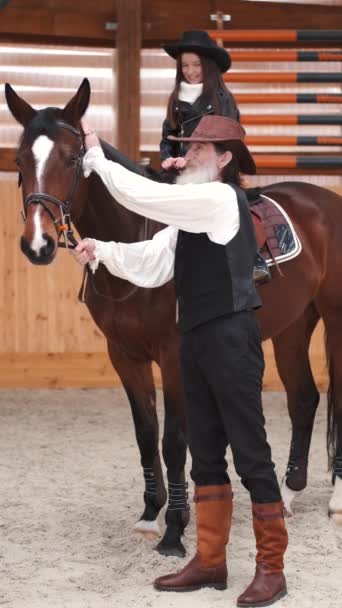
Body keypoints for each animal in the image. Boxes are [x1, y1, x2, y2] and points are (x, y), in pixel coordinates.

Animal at [4, 78, 342, 544]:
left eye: (72, 158)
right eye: (19, 160)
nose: (37, 244)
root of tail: (325, 202)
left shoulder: (173, 355)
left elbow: (174, 440)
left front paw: (176, 525)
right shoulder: (124, 354)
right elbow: (146, 434)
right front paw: (151, 512)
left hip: (337, 320)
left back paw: (336, 501)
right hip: (293, 325)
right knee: (304, 398)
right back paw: (288, 494)